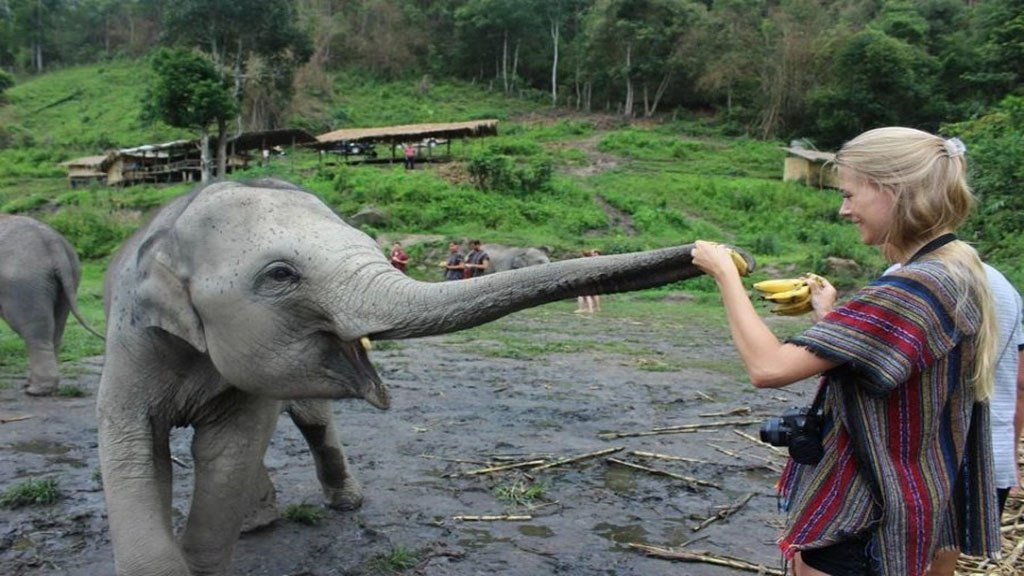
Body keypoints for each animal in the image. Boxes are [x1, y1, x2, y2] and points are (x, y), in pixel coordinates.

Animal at [0, 214, 104, 393]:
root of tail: (52, 243)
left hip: (23, 281)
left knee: (34, 331)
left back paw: (37, 390)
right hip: (69, 278)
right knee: (57, 327)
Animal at [97, 177, 753, 569]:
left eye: (372, 242)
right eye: (280, 275)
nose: (729, 253)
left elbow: (228, 451)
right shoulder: (131, 341)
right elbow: (132, 448)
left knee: (312, 420)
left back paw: (324, 509)